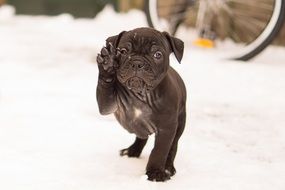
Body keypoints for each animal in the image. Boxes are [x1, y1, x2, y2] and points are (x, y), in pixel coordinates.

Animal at [96, 26, 186, 181]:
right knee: (141, 137)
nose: (137, 63)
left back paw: (168, 167)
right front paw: (107, 64)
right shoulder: (107, 104)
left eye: (157, 54)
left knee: (173, 146)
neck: (140, 94)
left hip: (180, 124)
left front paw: (155, 172)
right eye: (123, 51)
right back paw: (132, 151)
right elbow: (105, 88)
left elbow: (159, 150)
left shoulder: (166, 128)